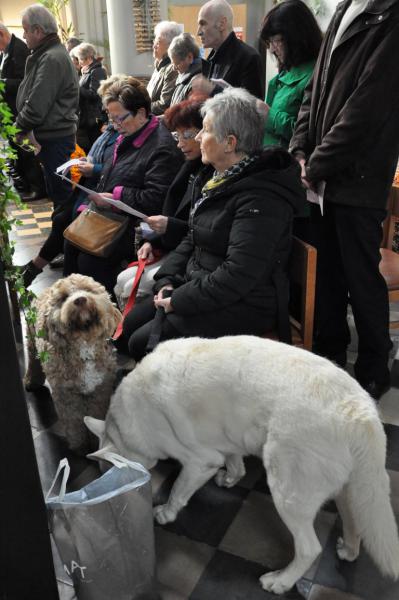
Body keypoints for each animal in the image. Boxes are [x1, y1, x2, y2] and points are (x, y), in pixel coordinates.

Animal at [25, 274, 122, 452]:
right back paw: (30, 381)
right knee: (33, 362)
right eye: (63, 298)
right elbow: (73, 422)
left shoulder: (100, 390)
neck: (83, 344)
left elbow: (95, 415)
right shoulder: (66, 395)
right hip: (32, 341)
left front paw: (95, 442)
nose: (80, 300)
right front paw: (80, 445)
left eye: (88, 290)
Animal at [86, 336, 399, 592]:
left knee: (309, 549)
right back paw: (348, 550)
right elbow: (235, 463)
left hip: (287, 492)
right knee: (354, 521)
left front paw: (165, 513)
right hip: (350, 489)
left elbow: (177, 492)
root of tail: (361, 414)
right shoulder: (227, 441)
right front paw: (230, 478)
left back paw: (281, 581)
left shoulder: (200, 462)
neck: (128, 421)